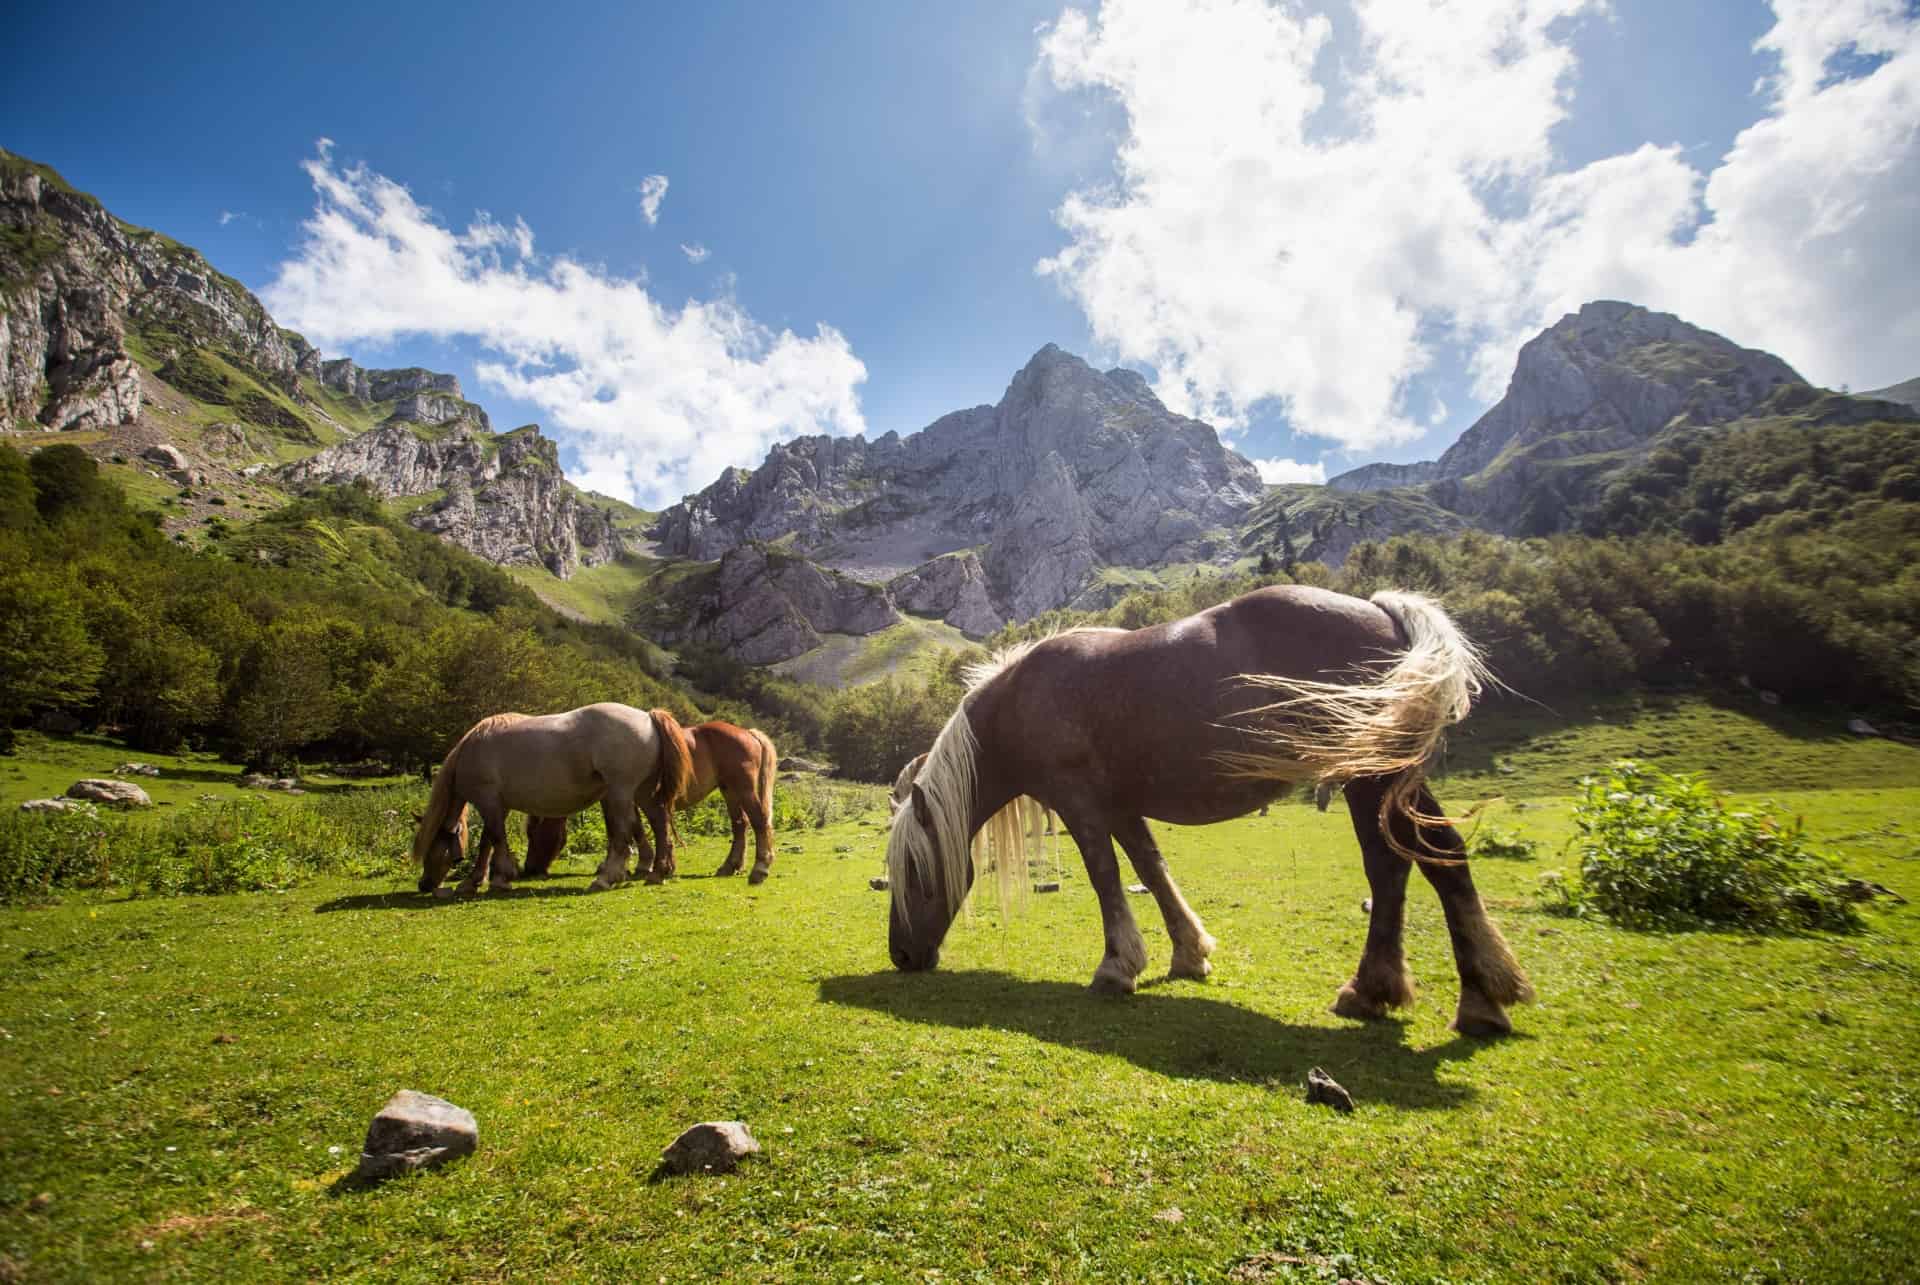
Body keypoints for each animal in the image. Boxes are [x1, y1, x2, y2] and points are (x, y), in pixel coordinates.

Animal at [412, 703, 698, 891]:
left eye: (432, 847)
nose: (424, 884)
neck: (470, 750)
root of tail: (647, 716)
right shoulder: (497, 806)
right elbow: (487, 842)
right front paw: (475, 880)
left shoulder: (488, 801)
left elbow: (494, 838)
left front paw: (499, 878)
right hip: (642, 792)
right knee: (659, 824)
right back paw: (658, 872)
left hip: (621, 792)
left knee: (622, 834)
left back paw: (606, 878)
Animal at [518, 718, 779, 887]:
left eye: (535, 834)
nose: (529, 870)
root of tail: (747, 733)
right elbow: (638, 827)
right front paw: (652, 866)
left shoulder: (619, 797)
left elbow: (626, 829)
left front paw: (635, 866)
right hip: (729, 790)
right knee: (740, 825)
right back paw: (730, 866)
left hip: (742, 788)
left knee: (758, 821)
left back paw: (759, 870)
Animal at [890, 587, 1536, 1037]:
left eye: (915, 874)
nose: (901, 955)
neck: (1022, 699)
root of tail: (1384, 612)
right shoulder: (1121, 805)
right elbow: (1151, 870)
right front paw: (1188, 954)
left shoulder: (1081, 803)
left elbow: (1105, 877)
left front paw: (1116, 967)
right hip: (1390, 779)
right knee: (1438, 857)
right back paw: (1459, 998)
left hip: (1367, 778)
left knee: (1394, 866)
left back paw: (1404, 991)